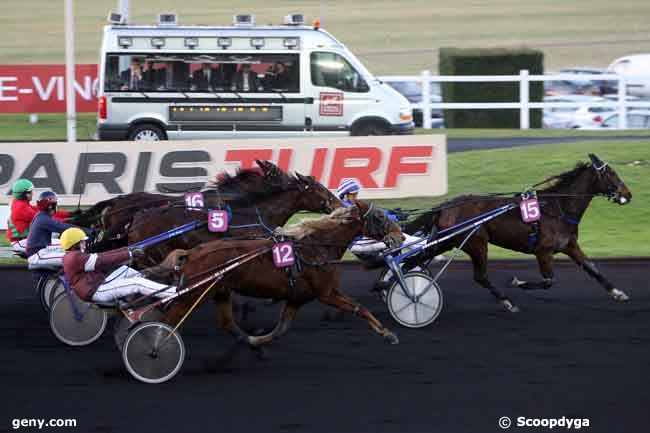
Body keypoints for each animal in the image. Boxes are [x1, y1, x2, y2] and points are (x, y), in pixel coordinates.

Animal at [154, 200, 402, 352]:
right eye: (380, 217)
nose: (399, 236)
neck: (316, 247)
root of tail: (192, 252)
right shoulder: (326, 293)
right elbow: (360, 308)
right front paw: (388, 334)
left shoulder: (297, 298)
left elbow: (280, 328)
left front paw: (257, 340)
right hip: (194, 294)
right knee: (170, 320)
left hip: (219, 291)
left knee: (226, 322)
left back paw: (246, 339)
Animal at [402, 154, 632, 312]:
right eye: (611, 174)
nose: (628, 194)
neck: (558, 207)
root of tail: (446, 206)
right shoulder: (543, 251)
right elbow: (548, 281)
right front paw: (517, 282)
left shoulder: (569, 245)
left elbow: (592, 268)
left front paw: (618, 292)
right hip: (476, 243)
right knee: (480, 276)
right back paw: (506, 302)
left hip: (447, 241)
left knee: (413, 261)